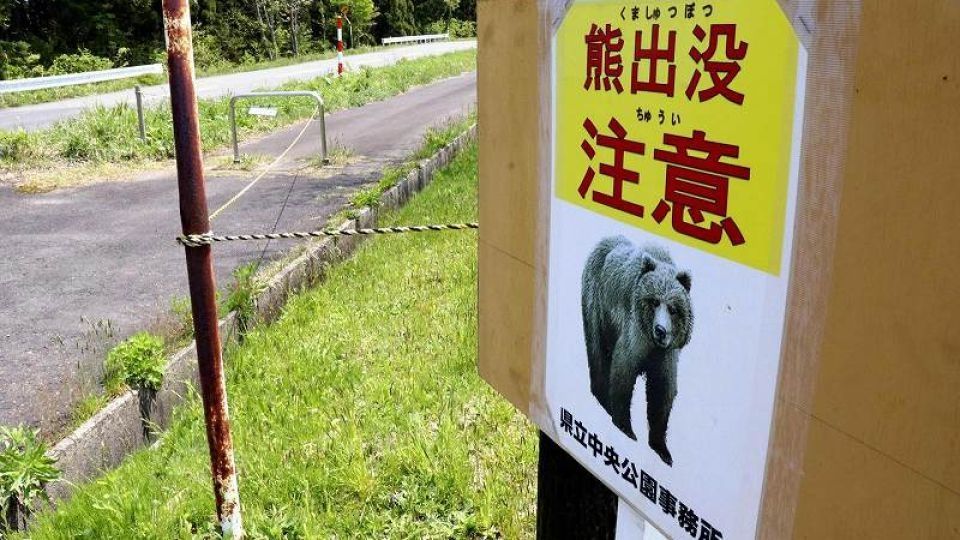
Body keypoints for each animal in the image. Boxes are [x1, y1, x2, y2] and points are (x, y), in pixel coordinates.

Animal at [580, 235, 693, 466]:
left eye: (673, 308)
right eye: (654, 301)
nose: (660, 330)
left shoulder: (665, 356)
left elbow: (662, 391)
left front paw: (662, 450)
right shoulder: (634, 335)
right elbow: (623, 373)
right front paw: (626, 428)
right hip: (596, 304)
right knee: (598, 355)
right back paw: (602, 399)